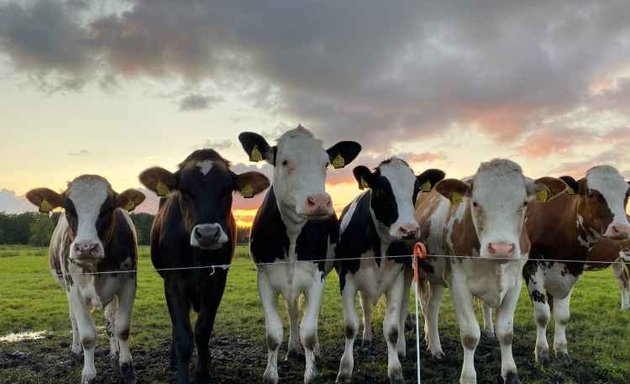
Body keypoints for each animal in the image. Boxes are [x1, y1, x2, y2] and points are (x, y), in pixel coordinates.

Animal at [26, 176, 146, 384]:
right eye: (68, 209)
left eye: (108, 209)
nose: (86, 247)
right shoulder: (73, 290)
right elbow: (88, 336)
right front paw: (88, 374)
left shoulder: (128, 284)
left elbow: (121, 328)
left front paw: (126, 368)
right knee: (74, 319)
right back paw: (76, 351)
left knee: (110, 321)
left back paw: (114, 354)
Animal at [239, 126, 362, 384]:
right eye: (285, 161)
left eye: (325, 163)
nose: (320, 201)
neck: (293, 235)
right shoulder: (264, 278)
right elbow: (273, 333)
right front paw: (270, 374)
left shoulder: (316, 278)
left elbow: (309, 331)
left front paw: (311, 371)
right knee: (293, 311)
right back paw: (292, 348)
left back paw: (314, 351)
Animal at [336, 158, 444, 382]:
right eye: (380, 191)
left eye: (415, 190)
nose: (409, 230)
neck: (380, 248)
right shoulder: (347, 280)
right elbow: (350, 327)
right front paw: (345, 369)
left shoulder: (395, 280)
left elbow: (392, 329)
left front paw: (395, 371)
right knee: (366, 308)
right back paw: (367, 337)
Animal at [414, 160, 568, 384]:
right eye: (475, 203)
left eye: (524, 203)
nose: (501, 248)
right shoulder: (458, 284)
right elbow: (470, 336)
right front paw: (468, 377)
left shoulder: (515, 284)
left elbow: (505, 332)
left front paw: (510, 372)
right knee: (427, 307)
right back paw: (433, 347)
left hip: (436, 277)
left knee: (431, 307)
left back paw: (432, 344)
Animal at [524, 164, 630, 364]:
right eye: (590, 193)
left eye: (627, 194)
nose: (622, 229)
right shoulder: (532, 268)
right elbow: (543, 313)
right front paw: (542, 353)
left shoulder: (572, 269)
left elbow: (562, 315)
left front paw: (561, 351)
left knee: (624, 281)